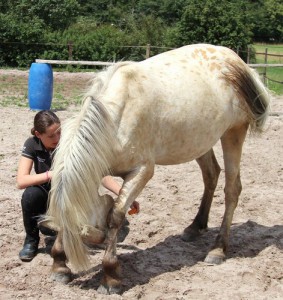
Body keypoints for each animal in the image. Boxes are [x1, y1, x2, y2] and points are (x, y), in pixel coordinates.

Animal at [46, 43, 270, 294]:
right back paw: (195, 227)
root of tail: (237, 61)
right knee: (211, 175)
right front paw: (59, 266)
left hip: (234, 132)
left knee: (232, 189)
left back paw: (218, 249)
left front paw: (110, 275)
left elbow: (116, 216)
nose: (64, 260)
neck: (113, 122)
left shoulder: (142, 171)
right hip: (199, 141)